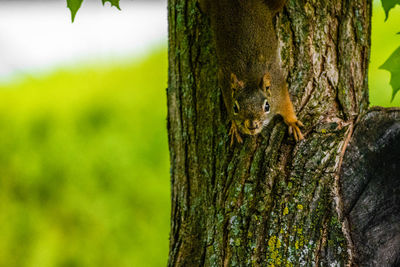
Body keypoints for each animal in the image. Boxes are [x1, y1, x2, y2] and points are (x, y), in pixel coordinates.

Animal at [200, 0, 304, 147]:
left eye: (267, 106)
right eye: (235, 107)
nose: (252, 125)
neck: (249, 78)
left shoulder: (278, 85)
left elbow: (287, 105)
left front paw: (293, 122)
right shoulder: (224, 82)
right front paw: (234, 126)